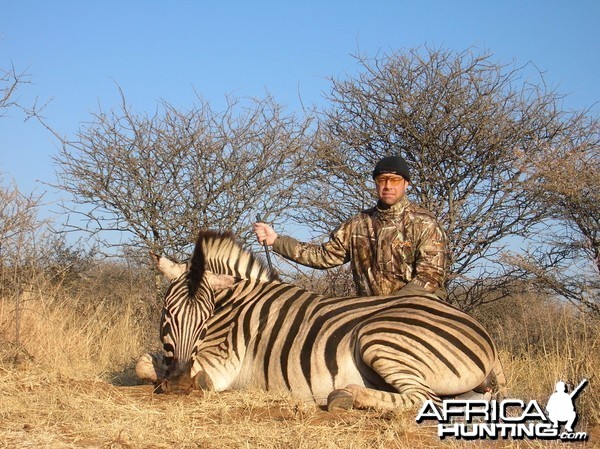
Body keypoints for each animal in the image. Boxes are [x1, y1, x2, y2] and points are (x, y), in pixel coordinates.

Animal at [137, 231, 506, 410]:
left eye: (205, 319)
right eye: (167, 313)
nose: (180, 384)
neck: (232, 305)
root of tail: (484, 334)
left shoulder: (221, 363)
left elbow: (174, 372)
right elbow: (144, 362)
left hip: (379, 338)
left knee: (425, 400)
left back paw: (346, 396)